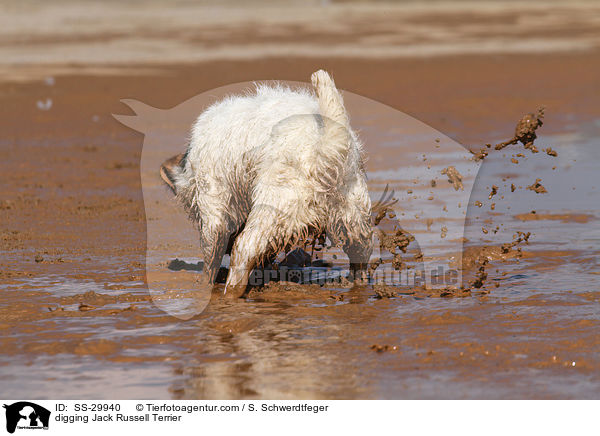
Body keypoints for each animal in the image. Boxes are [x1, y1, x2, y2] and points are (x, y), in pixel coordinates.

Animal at [162, 70, 372, 296]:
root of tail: (327, 146)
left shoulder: (212, 201)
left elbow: (211, 254)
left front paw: (203, 286)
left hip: (274, 206)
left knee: (244, 248)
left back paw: (231, 292)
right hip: (355, 216)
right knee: (361, 252)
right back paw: (358, 284)